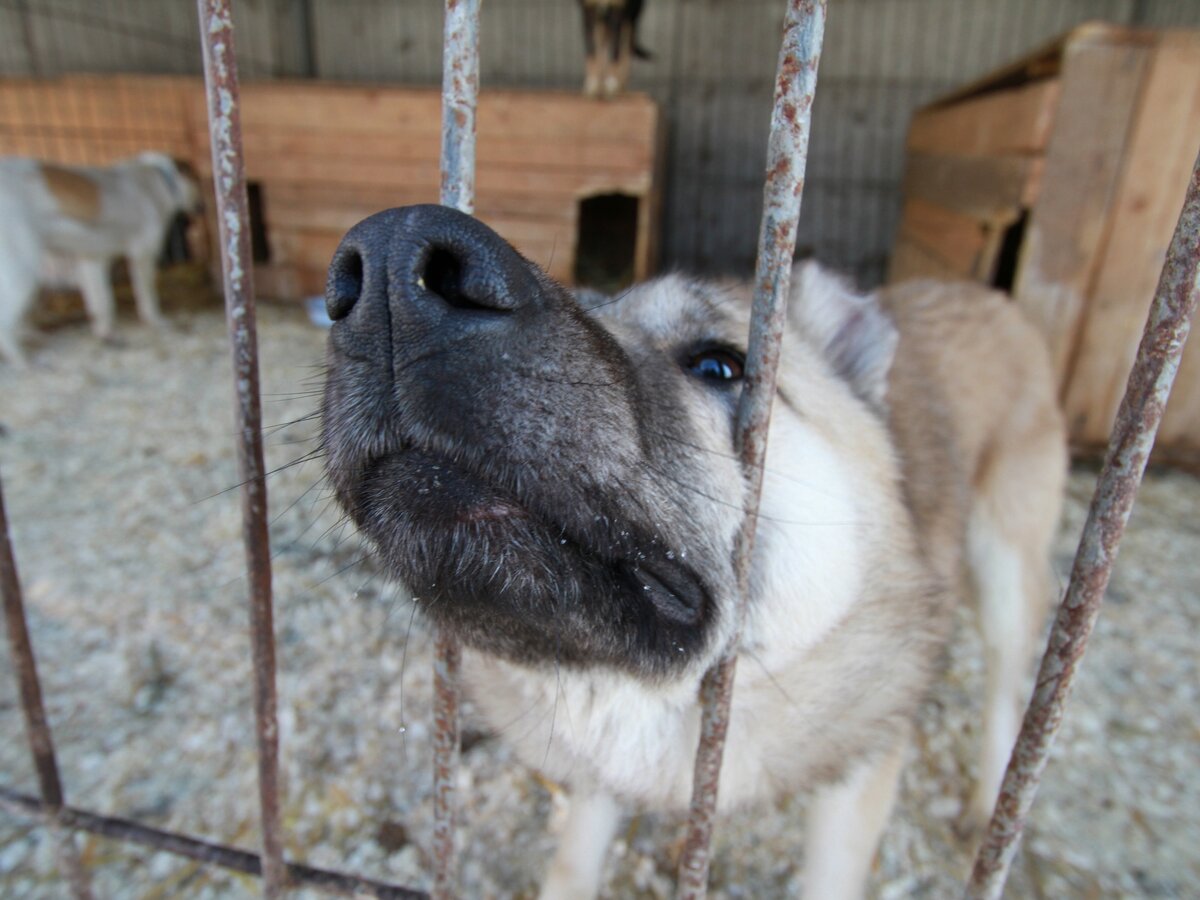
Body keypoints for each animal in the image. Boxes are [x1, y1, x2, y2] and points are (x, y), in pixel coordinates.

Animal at [0, 152, 199, 367]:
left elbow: (101, 303)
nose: (203, 207)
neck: (159, 177)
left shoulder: (93, 260)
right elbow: (147, 296)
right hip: (23, 270)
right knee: (6, 324)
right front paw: (156, 321)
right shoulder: (142, 253)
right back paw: (24, 361)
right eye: (197, 179)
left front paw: (106, 334)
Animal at [321, 206, 1070, 900]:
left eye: (720, 365)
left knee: (1010, 688)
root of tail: (991, 296)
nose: (390, 261)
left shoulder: (859, 773)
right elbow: (574, 859)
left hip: (1007, 577)